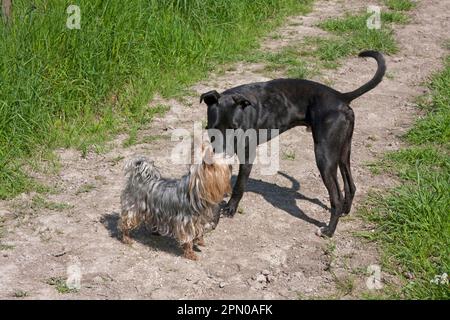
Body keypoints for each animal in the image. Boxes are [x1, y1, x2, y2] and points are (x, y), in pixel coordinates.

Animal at [200, 50, 386, 238]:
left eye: (235, 128)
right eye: (213, 128)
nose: (222, 153)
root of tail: (340, 96)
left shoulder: (247, 155)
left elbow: (239, 186)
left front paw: (231, 208)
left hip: (324, 157)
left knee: (336, 197)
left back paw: (329, 231)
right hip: (342, 152)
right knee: (350, 186)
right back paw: (344, 213)